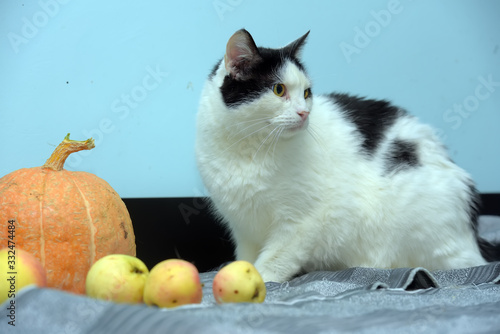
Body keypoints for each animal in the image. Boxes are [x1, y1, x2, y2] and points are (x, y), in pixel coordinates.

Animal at [195, 28, 500, 282]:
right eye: (278, 89)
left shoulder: (304, 221)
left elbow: (276, 257)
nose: (304, 113)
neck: (248, 149)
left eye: (306, 93)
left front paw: (259, 278)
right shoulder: (242, 227)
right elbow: (245, 256)